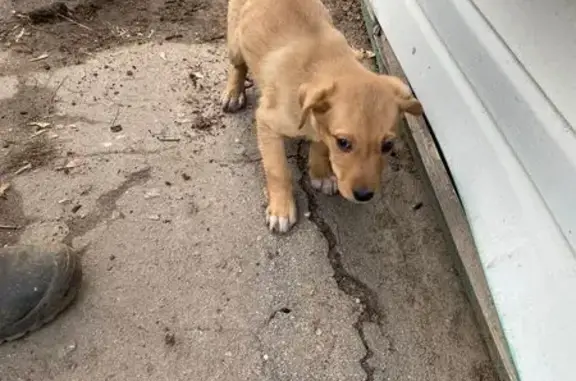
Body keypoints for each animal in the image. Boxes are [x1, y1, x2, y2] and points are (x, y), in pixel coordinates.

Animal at [222, 0, 424, 233]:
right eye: (344, 143)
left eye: (388, 145)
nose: (364, 195)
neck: (324, 63)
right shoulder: (267, 122)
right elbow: (277, 170)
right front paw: (281, 209)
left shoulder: (322, 124)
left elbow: (320, 145)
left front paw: (321, 174)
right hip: (235, 42)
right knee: (238, 65)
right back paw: (233, 92)